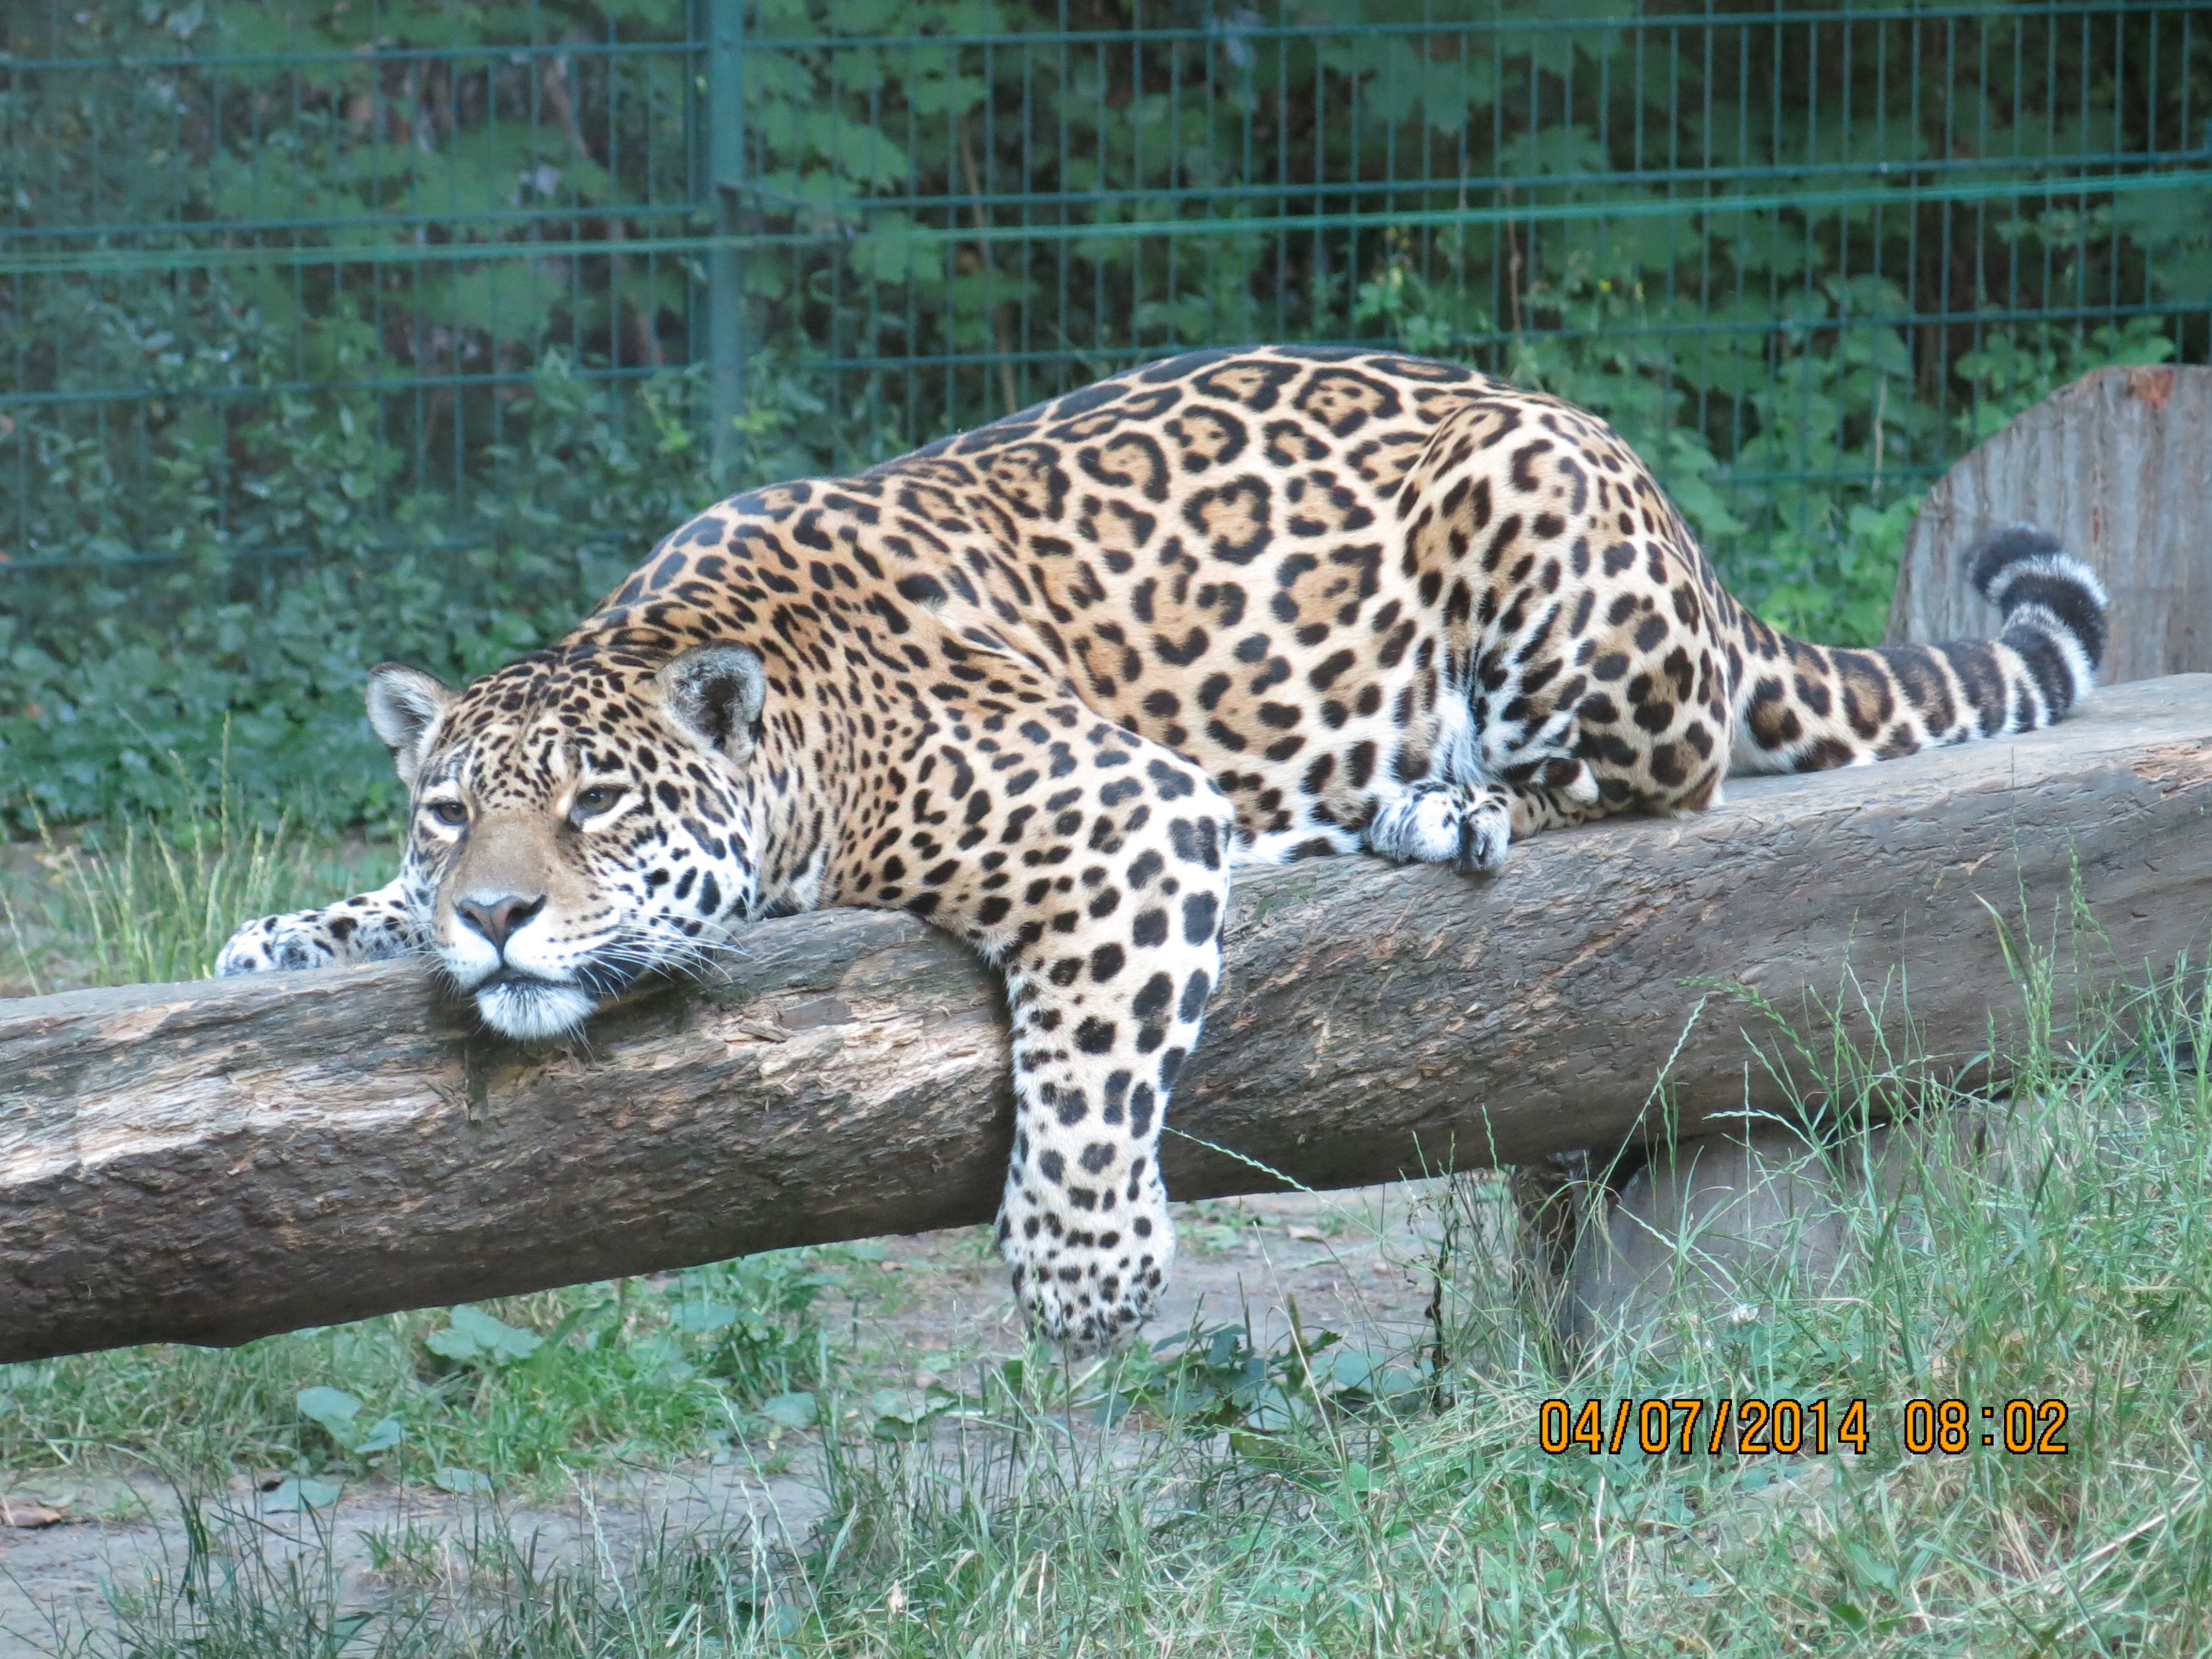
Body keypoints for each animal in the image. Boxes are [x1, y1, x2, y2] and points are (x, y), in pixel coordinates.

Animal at [215, 345, 2109, 1349]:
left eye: (597, 808)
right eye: (450, 809)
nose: (497, 917)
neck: (802, 733)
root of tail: (1677, 528)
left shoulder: (1116, 816)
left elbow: (1089, 1060)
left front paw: (1086, 1278)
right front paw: (301, 936)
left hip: (1548, 544)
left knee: (1669, 773)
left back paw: (1449, 801)